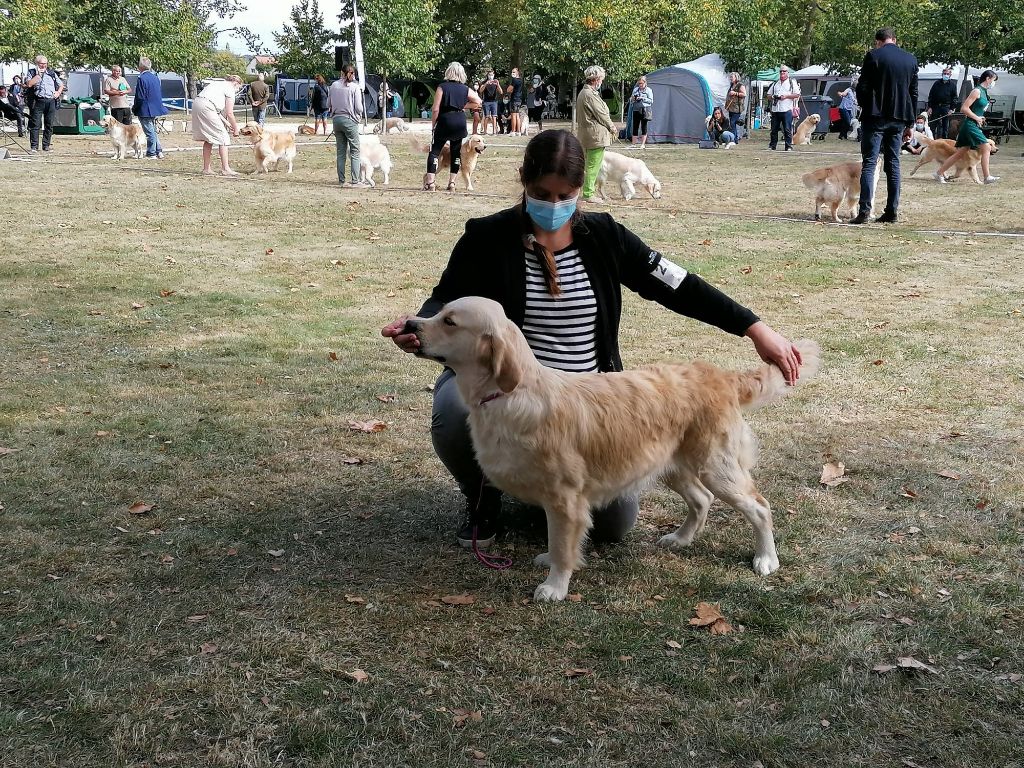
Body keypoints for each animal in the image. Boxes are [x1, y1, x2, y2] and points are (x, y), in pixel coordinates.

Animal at [403, 296, 819, 606]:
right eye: (438, 313)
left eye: (450, 321)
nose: (409, 325)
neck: (513, 393)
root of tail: (720, 375)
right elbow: (556, 541)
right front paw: (550, 562)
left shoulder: (565, 498)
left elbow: (562, 543)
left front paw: (555, 586)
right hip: (672, 465)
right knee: (701, 500)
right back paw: (680, 539)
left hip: (716, 466)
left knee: (759, 506)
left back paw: (766, 559)